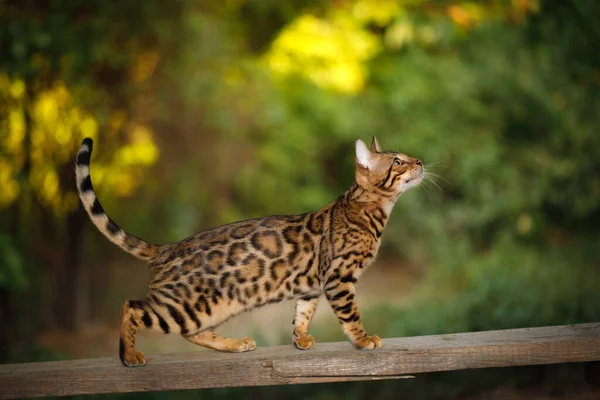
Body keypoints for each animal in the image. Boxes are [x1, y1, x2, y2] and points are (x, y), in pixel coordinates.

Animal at [74, 137, 422, 366]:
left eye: (405, 157)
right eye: (397, 161)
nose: (419, 162)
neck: (367, 209)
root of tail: (165, 248)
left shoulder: (313, 285)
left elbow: (302, 312)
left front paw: (300, 339)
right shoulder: (339, 277)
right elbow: (350, 315)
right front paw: (363, 339)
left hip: (208, 308)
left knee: (191, 332)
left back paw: (234, 344)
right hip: (183, 305)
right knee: (132, 307)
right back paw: (129, 354)